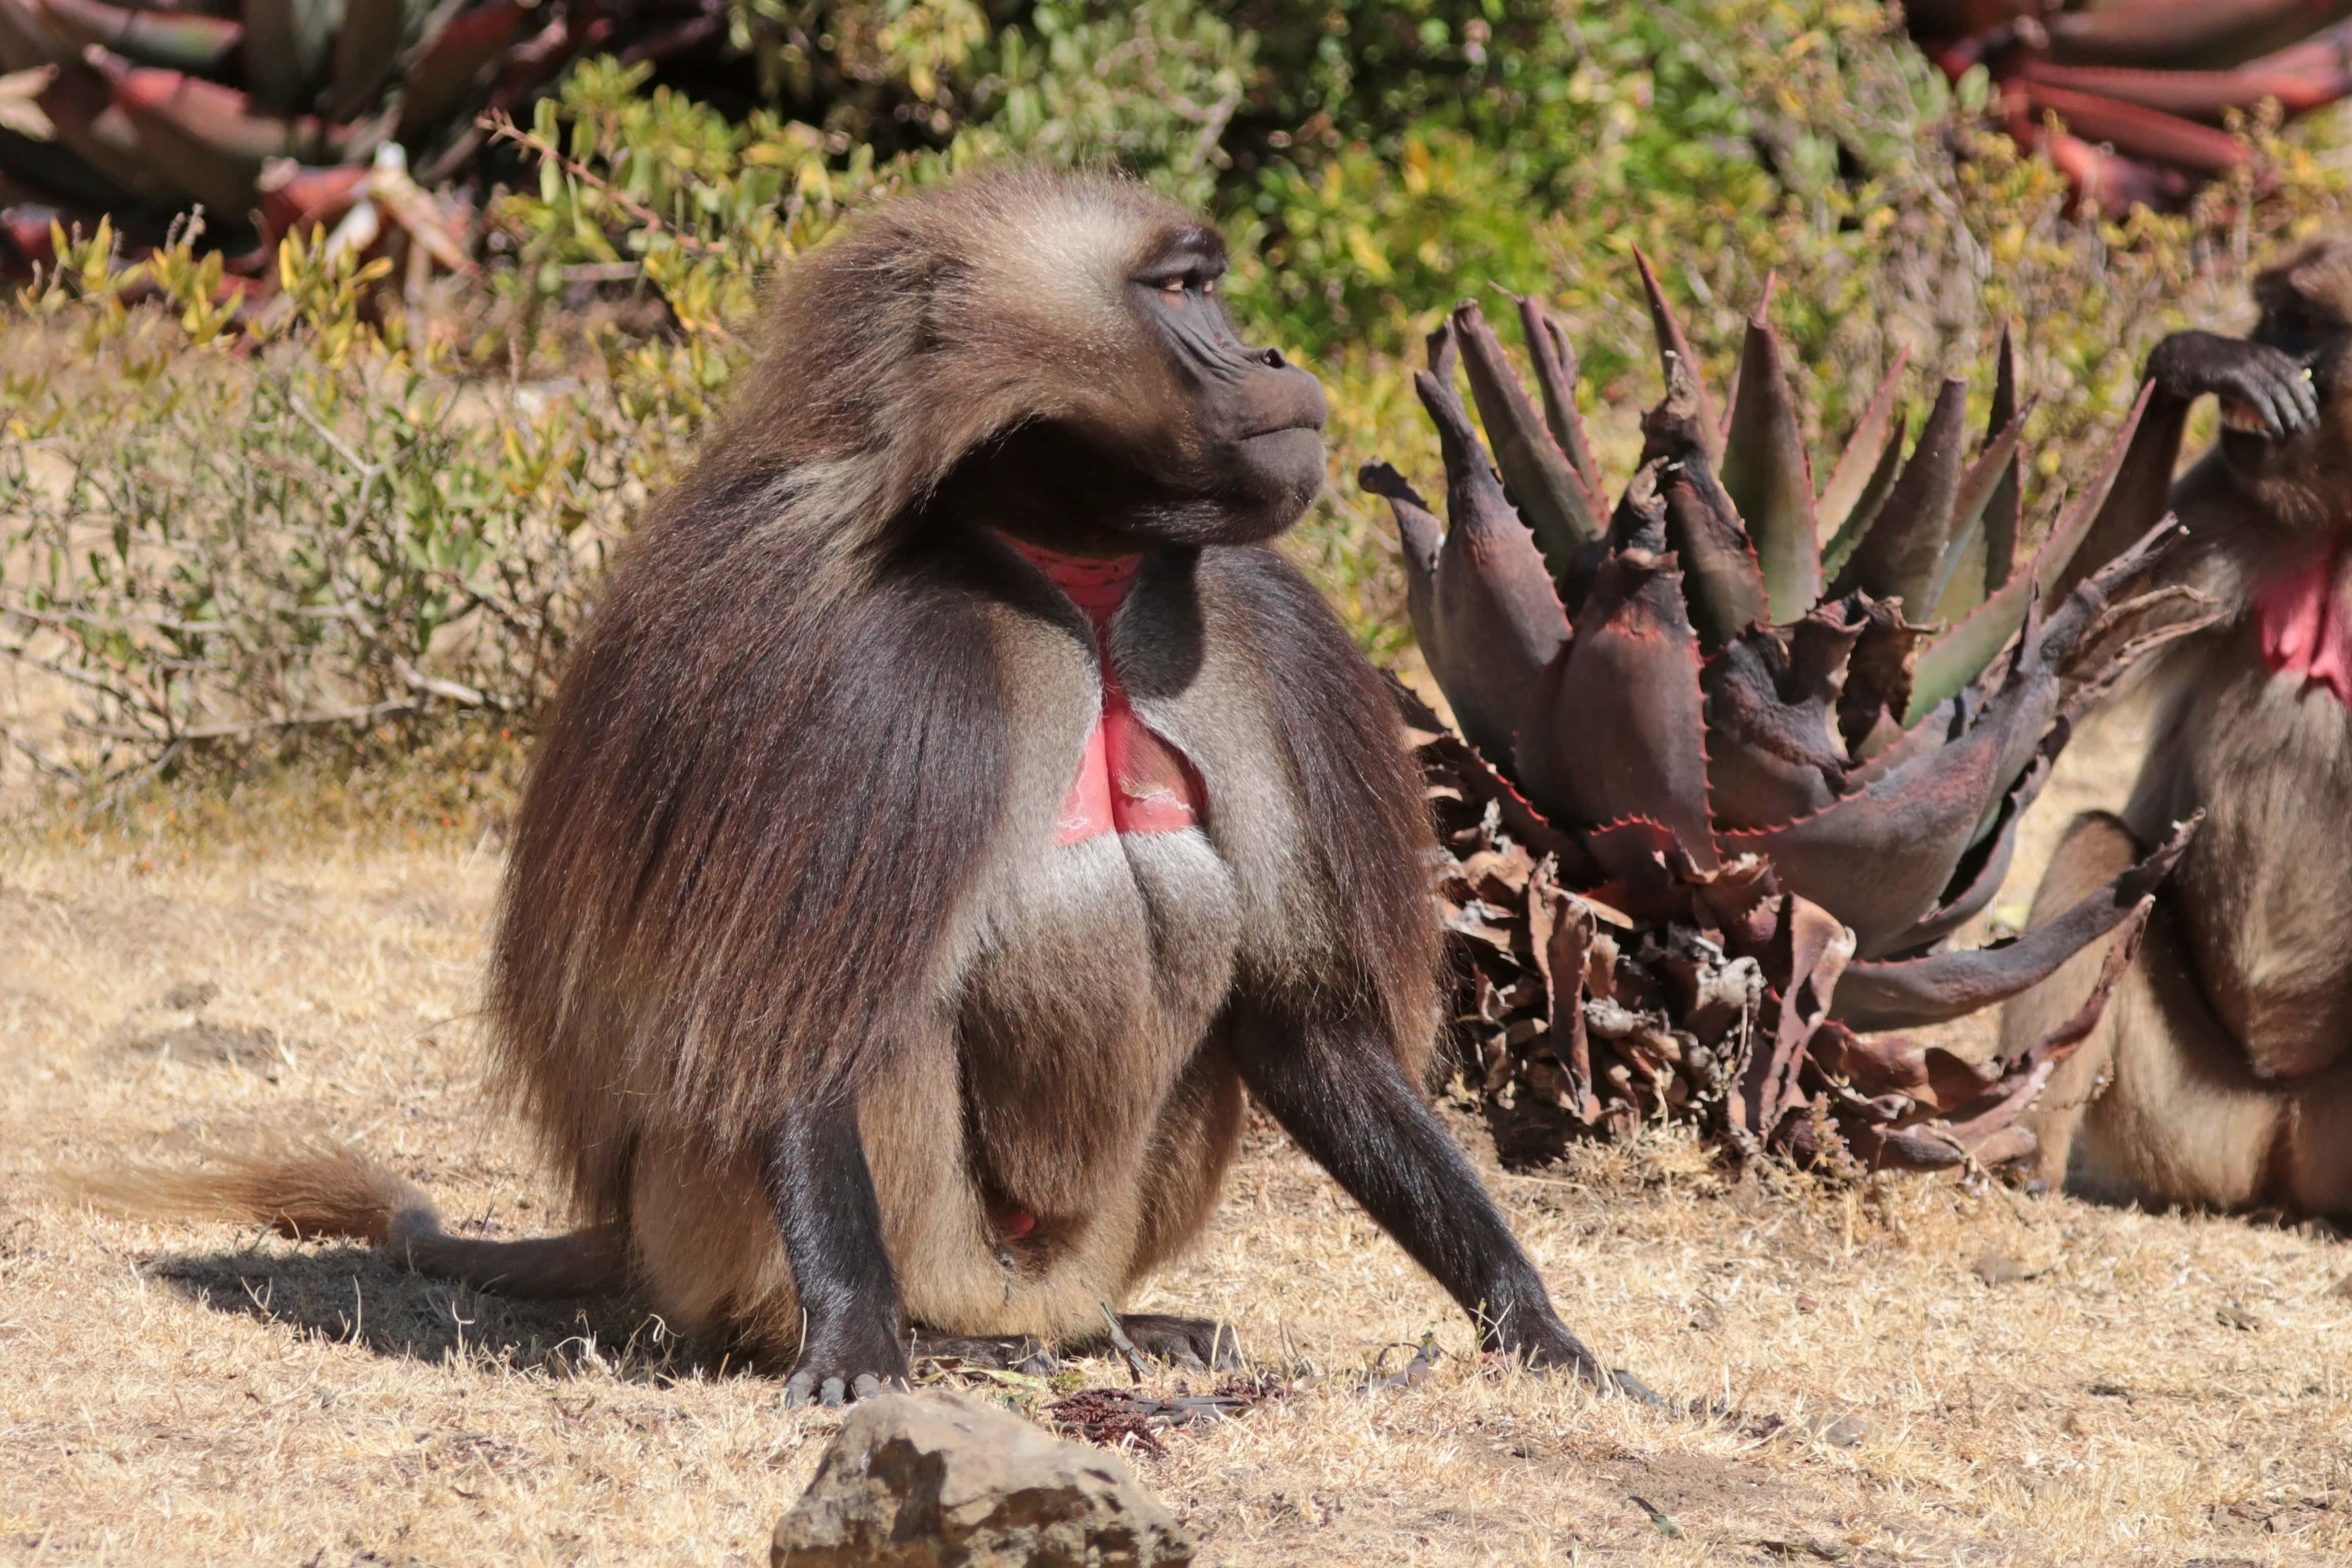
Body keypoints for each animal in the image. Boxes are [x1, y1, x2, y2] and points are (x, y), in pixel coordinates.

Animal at [93, 169, 1643, 1408]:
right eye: (1183, 290)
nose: (1271, 355)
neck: (1074, 579)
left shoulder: (1262, 642)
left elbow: (1303, 1026)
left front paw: (1538, 1325)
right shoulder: (860, 669)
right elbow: (786, 1022)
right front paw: (851, 1341)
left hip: (1084, 1244)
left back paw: (1129, 1332)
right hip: (753, 1236)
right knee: (872, 1021)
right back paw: (930, 1343)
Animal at [2001, 237, 2352, 1221]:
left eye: (2309, 324)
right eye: (2278, 321)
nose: (2272, 353)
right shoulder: (2229, 500)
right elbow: (2066, 662)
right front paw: (2191, 362)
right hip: (2194, 1127)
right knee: (2097, 846)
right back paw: (2011, 1156)